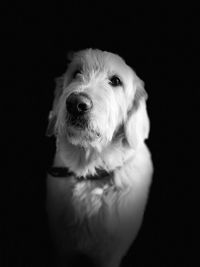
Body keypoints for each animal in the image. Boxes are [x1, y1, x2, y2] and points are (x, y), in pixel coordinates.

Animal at [46, 49, 153, 266]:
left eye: (115, 81)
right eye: (76, 73)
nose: (76, 103)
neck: (90, 171)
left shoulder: (109, 255)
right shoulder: (62, 249)